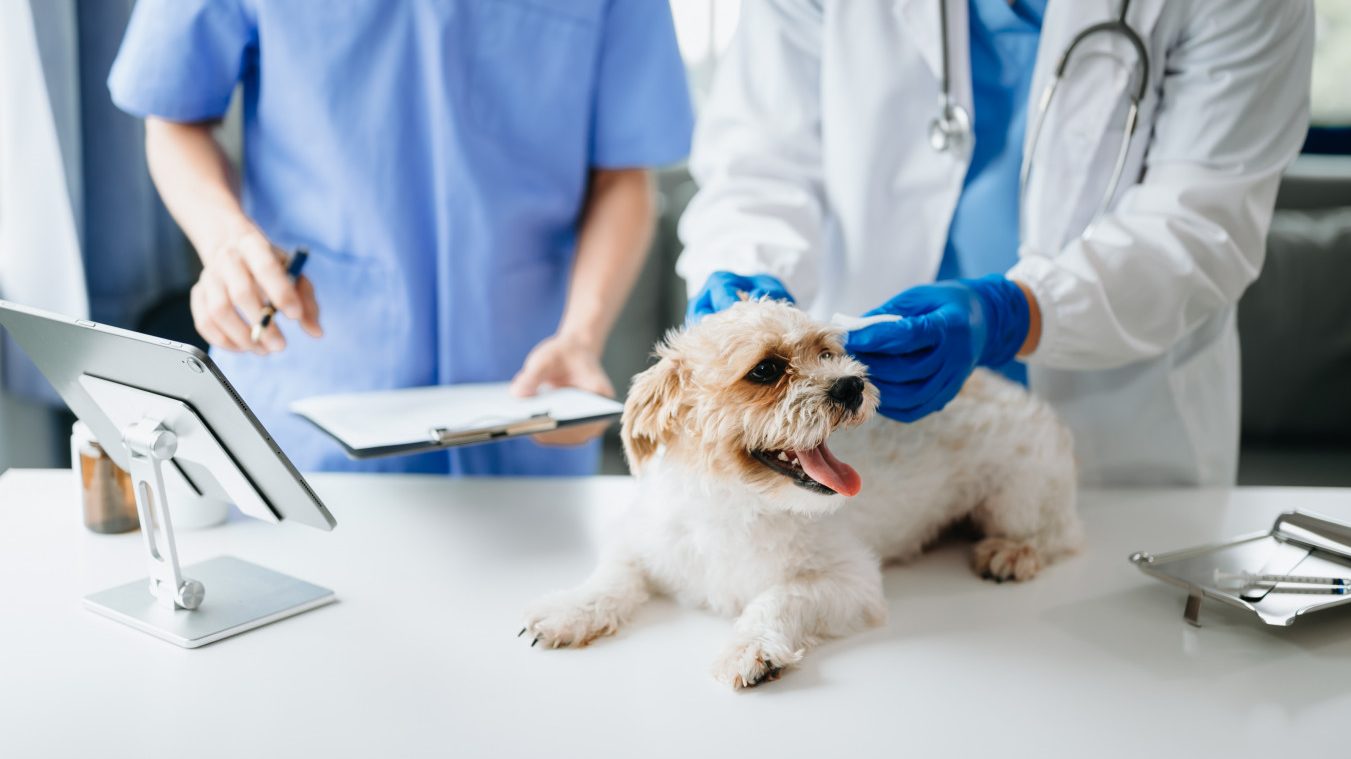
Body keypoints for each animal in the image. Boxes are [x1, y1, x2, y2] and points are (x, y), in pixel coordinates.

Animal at [521, 299, 1080, 686]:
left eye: (829, 352)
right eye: (766, 369)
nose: (852, 384)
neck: (734, 506)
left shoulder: (851, 583)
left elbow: (775, 599)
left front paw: (753, 650)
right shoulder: (641, 546)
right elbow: (610, 579)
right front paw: (569, 610)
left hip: (1015, 500)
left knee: (1060, 535)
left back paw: (1013, 552)